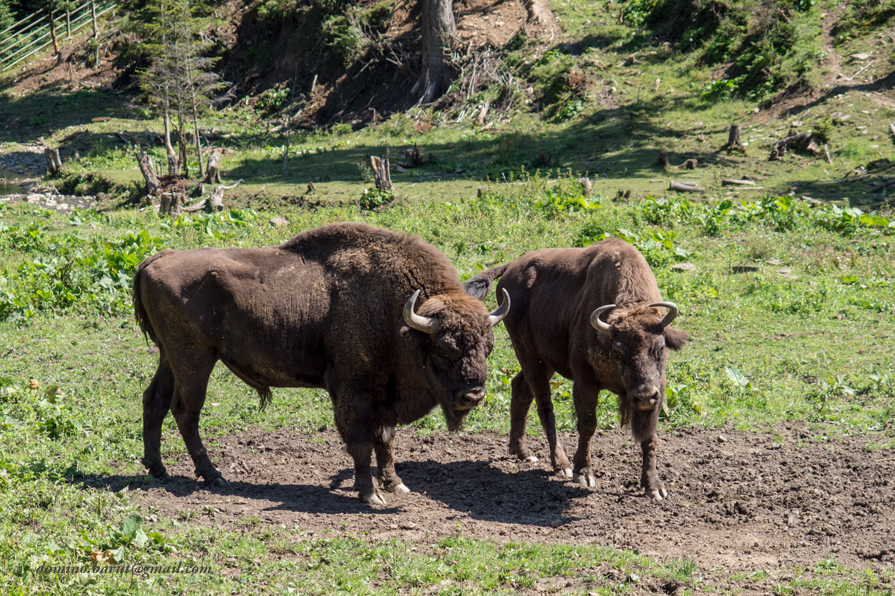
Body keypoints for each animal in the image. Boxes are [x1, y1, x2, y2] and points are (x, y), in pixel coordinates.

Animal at [134, 221, 512, 506]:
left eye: (489, 347)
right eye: (443, 349)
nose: (472, 395)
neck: (401, 321)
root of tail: (156, 258)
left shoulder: (384, 398)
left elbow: (386, 441)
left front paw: (395, 484)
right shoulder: (353, 391)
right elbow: (360, 442)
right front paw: (370, 494)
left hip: (170, 357)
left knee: (154, 401)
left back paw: (158, 468)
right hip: (195, 358)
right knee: (186, 412)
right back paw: (214, 476)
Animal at [468, 237, 688, 498]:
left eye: (660, 348)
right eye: (618, 350)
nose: (644, 395)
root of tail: (511, 267)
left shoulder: (658, 388)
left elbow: (650, 436)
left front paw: (654, 486)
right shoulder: (585, 382)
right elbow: (587, 425)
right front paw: (583, 473)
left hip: (545, 361)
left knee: (520, 389)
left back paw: (522, 452)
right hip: (528, 354)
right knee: (544, 406)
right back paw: (560, 464)